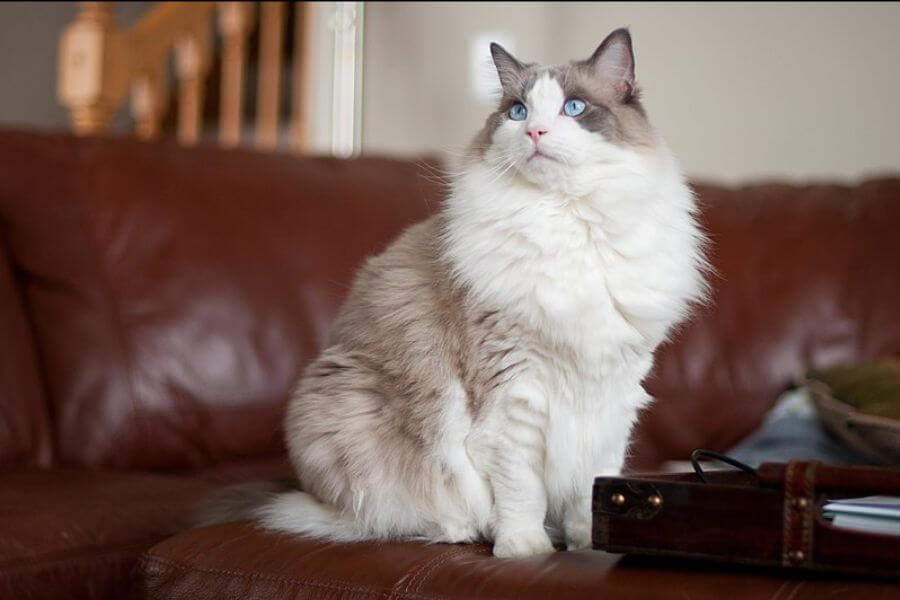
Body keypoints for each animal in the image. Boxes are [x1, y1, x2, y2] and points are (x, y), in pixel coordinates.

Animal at [199, 27, 712, 556]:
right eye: (518, 112)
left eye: (573, 108)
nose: (535, 133)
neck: (568, 224)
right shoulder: (514, 394)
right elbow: (521, 490)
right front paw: (525, 549)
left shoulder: (608, 396)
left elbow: (593, 490)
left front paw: (589, 544)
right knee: (383, 516)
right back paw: (463, 529)